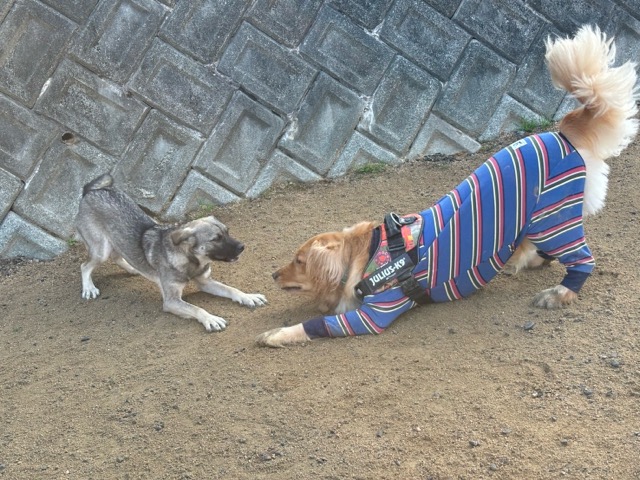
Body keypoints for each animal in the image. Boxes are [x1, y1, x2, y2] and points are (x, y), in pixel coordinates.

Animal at [75, 174, 267, 332]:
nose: (242, 246)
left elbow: (231, 289)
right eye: (216, 239)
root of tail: (91, 190)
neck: (191, 261)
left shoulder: (205, 282)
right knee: (85, 265)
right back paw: (89, 288)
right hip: (101, 250)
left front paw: (248, 297)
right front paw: (211, 319)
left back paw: (132, 269)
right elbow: (196, 308)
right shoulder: (171, 301)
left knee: (117, 256)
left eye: (227, 231)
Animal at [256, 25, 638, 347]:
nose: (272, 273)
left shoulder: (375, 314)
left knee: (582, 259)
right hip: (537, 219)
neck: (369, 257)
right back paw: (523, 260)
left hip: (553, 215)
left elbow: (313, 326)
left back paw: (559, 292)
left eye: (299, 261)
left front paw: (277, 333)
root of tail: (561, 132)